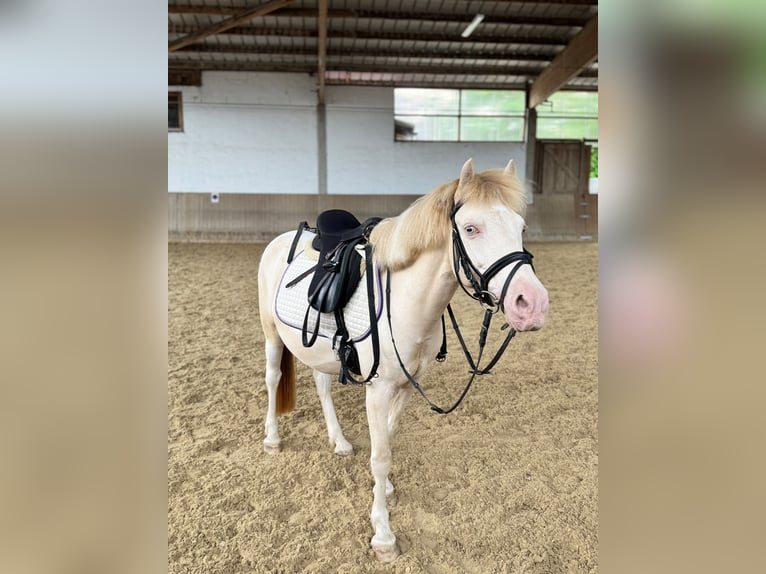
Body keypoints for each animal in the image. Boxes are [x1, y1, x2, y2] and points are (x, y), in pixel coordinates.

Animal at [257, 158, 549, 562]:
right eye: (471, 228)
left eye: (521, 228)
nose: (532, 304)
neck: (407, 300)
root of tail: (282, 239)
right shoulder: (377, 390)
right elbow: (380, 455)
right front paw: (383, 534)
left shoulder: (409, 386)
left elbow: (389, 439)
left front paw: (386, 489)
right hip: (271, 336)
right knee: (272, 380)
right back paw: (272, 439)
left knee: (322, 385)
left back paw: (340, 442)